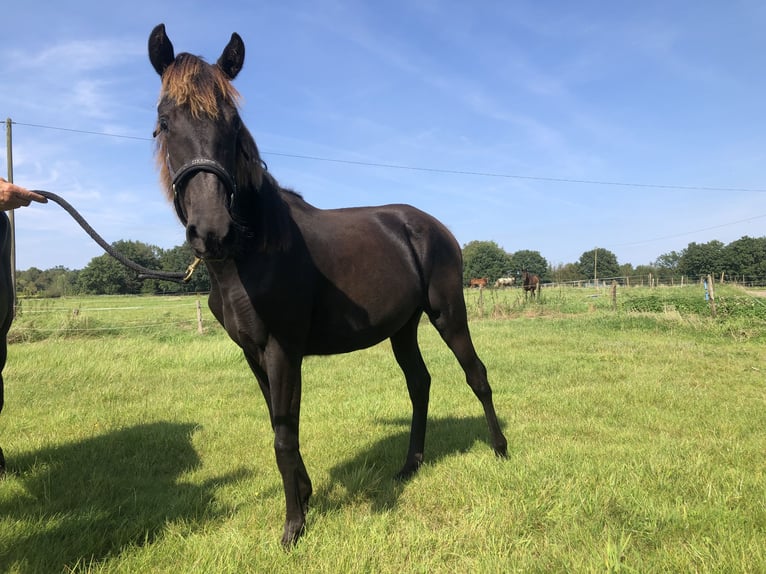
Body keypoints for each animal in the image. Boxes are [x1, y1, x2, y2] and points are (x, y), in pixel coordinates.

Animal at [150, 24, 510, 548]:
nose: (212, 231)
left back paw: (501, 449)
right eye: (164, 121)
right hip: (403, 328)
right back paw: (409, 465)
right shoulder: (253, 353)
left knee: (475, 374)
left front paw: (292, 527)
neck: (255, 249)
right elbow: (281, 423)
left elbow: (284, 435)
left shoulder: (282, 349)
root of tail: (434, 226)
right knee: (419, 383)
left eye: (233, 124)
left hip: (448, 313)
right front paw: (305, 497)